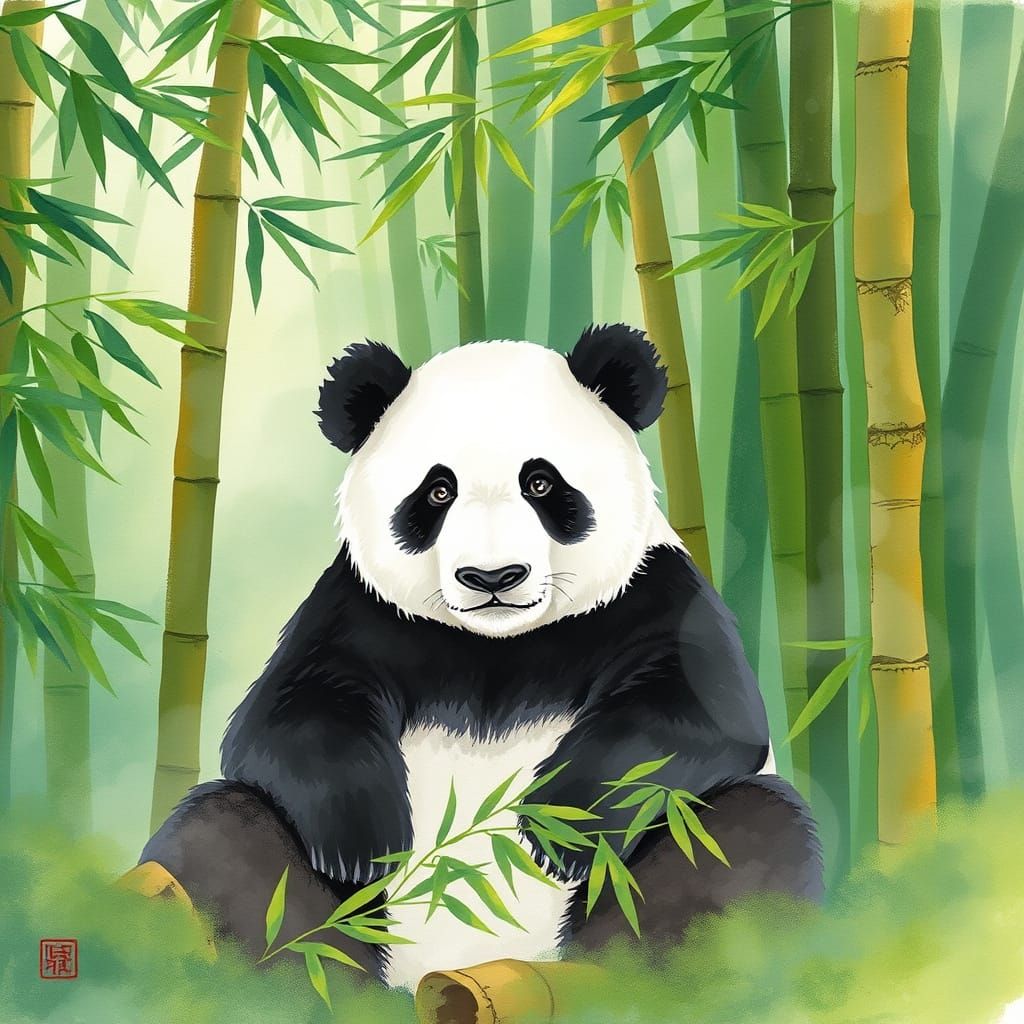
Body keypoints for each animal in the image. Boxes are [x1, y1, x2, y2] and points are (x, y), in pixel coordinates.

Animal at [141, 324, 823, 992]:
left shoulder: (655, 592)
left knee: (748, 839)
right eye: (437, 491)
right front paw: (366, 843)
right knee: (224, 837)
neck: (500, 643)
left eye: (541, 483)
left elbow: (699, 715)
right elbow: (287, 714)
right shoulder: (361, 609)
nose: (493, 576)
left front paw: (556, 828)